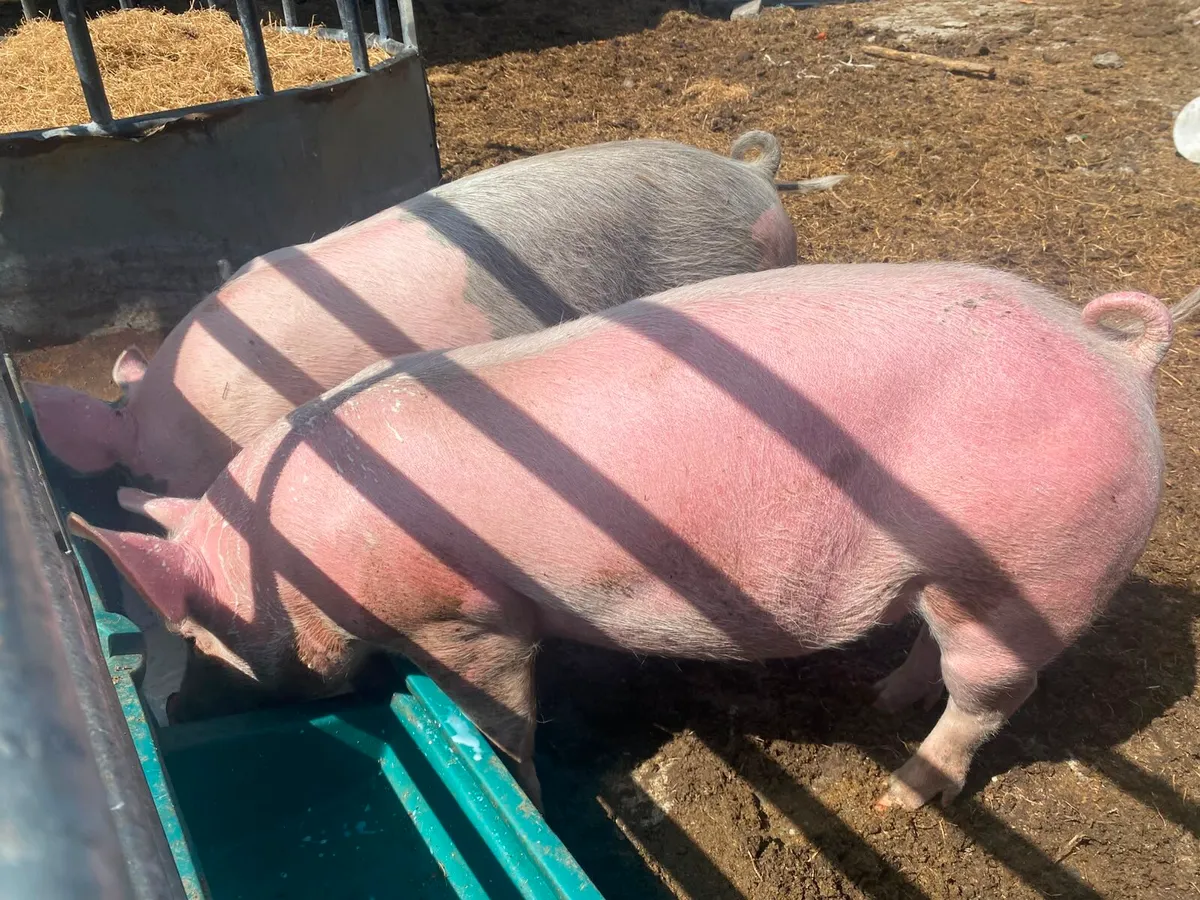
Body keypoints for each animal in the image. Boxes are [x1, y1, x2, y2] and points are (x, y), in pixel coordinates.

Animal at [67, 263, 1199, 811]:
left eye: (200, 634)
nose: (170, 713)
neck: (298, 558)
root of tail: (1115, 358)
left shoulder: (469, 618)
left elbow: (502, 717)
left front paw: (529, 788)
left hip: (1028, 571)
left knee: (992, 696)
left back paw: (897, 799)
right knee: (930, 653)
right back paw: (882, 702)